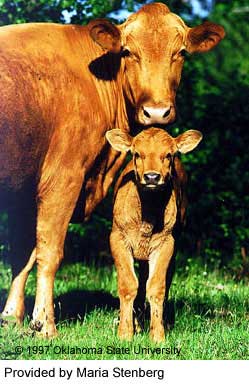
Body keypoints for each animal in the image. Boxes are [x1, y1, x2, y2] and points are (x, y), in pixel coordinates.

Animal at [105, 127, 202, 340]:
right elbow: (128, 285)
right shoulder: (118, 238)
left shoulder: (166, 243)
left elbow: (157, 286)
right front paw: (125, 333)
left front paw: (158, 335)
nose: (151, 177)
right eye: (136, 154)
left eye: (169, 155)